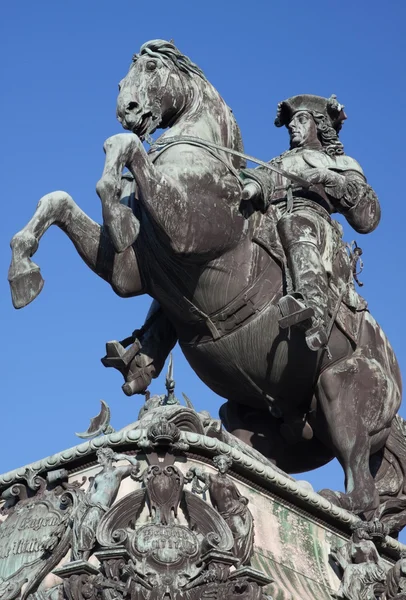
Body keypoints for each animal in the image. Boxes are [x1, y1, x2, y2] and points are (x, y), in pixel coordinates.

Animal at [7, 41, 404, 528]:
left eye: (151, 66)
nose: (127, 108)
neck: (202, 166)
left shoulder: (184, 230)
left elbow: (125, 149)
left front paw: (116, 210)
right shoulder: (129, 272)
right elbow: (59, 199)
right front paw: (23, 273)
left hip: (340, 388)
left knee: (363, 494)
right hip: (258, 416)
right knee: (263, 456)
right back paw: (207, 430)